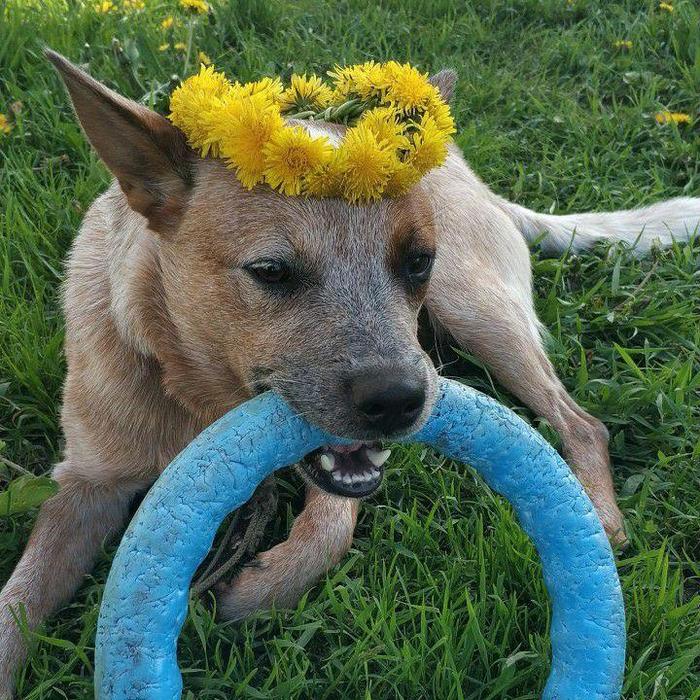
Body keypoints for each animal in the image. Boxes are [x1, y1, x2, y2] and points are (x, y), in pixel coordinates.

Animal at [1, 49, 700, 696]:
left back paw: (600, 521)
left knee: (580, 423)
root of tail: (465, 172)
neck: (198, 397)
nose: (401, 401)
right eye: (272, 271)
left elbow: (329, 531)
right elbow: (18, 599)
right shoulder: (85, 487)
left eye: (416, 262)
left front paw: (257, 590)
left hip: (475, 309)